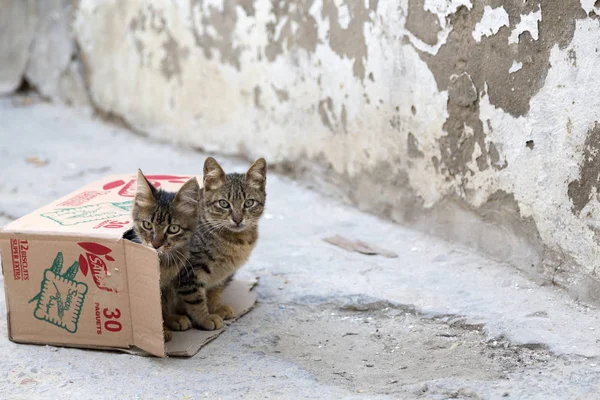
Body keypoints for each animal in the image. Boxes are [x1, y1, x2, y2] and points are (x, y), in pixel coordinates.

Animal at [173, 156, 268, 332]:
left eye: (249, 203)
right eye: (224, 203)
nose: (237, 219)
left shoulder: (222, 273)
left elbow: (214, 290)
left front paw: (215, 307)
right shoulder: (190, 270)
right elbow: (195, 298)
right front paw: (204, 318)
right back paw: (174, 320)